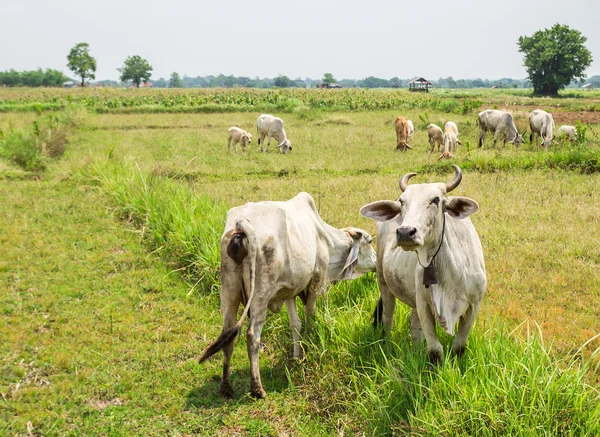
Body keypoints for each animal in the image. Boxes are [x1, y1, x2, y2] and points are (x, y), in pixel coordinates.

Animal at [199, 192, 376, 396]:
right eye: (370, 241)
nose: (378, 262)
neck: (327, 239)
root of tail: (241, 223)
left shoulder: (289, 292)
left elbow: (295, 325)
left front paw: (297, 356)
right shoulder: (315, 281)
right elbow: (309, 318)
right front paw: (309, 346)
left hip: (229, 292)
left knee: (228, 334)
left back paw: (226, 388)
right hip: (260, 294)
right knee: (252, 335)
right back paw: (257, 389)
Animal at [358, 165, 486, 362]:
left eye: (435, 200)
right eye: (402, 201)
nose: (405, 232)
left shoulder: (474, 305)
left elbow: (458, 346)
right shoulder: (424, 305)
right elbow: (435, 350)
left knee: (413, 324)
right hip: (384, 283)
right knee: (387, 319)